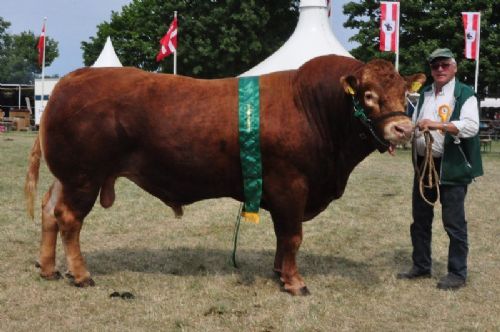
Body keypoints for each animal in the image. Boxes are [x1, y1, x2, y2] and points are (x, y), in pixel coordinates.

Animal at [22, 55, 422, 296]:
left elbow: (282, 238)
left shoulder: (280, 193)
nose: (404, 129)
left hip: (67, 177)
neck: (312, 107)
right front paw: (295, 282)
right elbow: (293, 236)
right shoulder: (291, 185)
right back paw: (80, 274)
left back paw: (48, 269)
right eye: (368, 95)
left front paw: (279, 273)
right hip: (83, 177)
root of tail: (70, 80)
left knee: (49, 212)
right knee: (69, 219)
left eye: (406, 93)